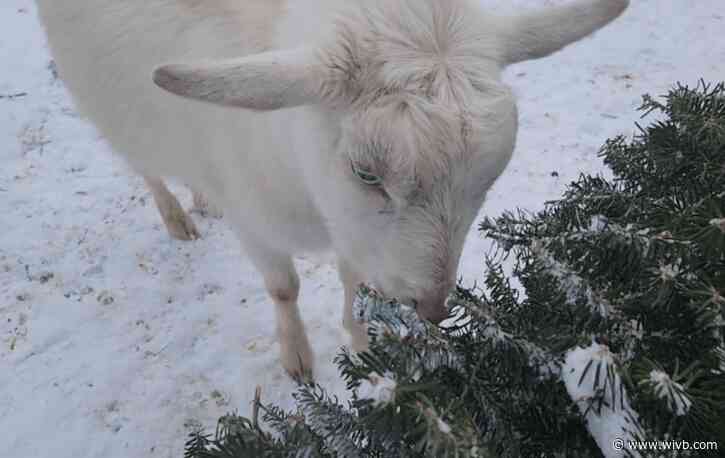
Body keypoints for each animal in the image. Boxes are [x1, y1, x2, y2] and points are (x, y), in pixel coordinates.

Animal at [36, 0, 629, 379]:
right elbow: (284, 289)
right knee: (147, 167)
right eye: (367, 174)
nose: (432, 306)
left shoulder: (354, 230)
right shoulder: (258, 221)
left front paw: (363, 346)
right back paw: (178, 217)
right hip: (112, 110)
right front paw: (298, 360)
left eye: (490, 176)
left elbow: (355, 281)